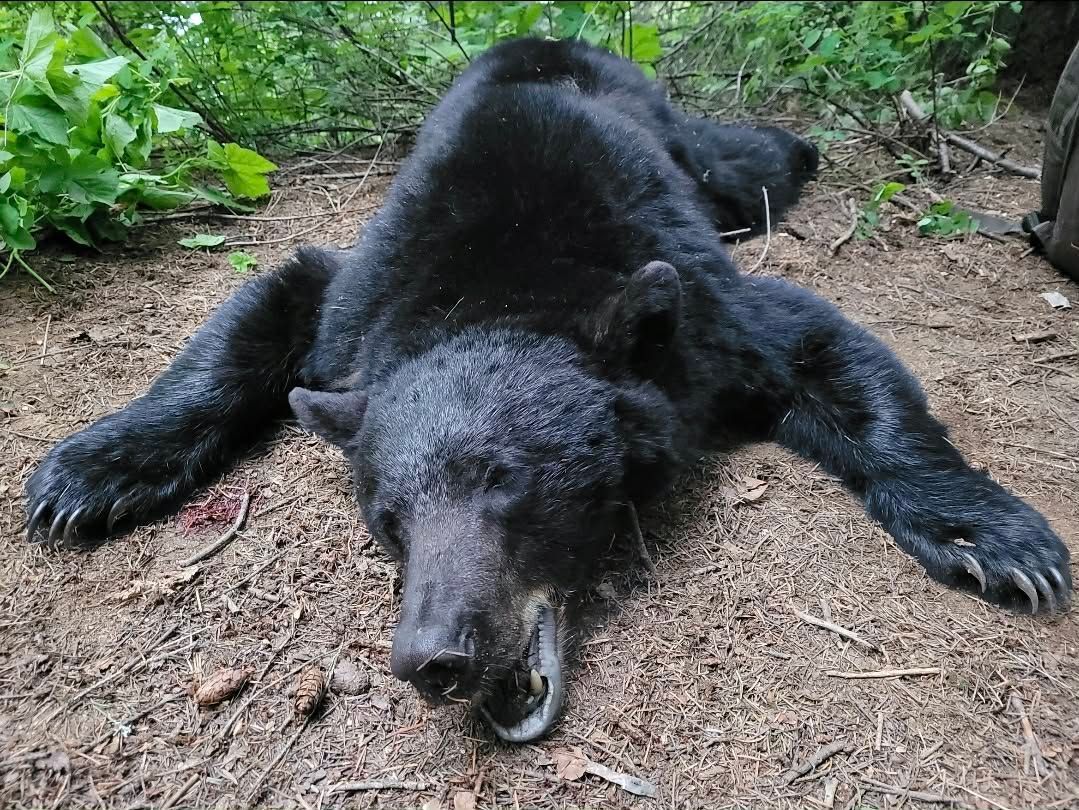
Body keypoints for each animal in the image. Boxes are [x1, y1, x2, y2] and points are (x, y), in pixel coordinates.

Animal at [24, 38, 1071, 743]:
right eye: (388, 521)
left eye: (507, 482)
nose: (430, 656)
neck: (496, 289)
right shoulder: (359, 302)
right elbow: (261, 310)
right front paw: (89, 471)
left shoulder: (708, 318)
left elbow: (829, 349)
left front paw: (988, 535)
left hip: (689, 153)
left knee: (743, 167)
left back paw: (799, 148)